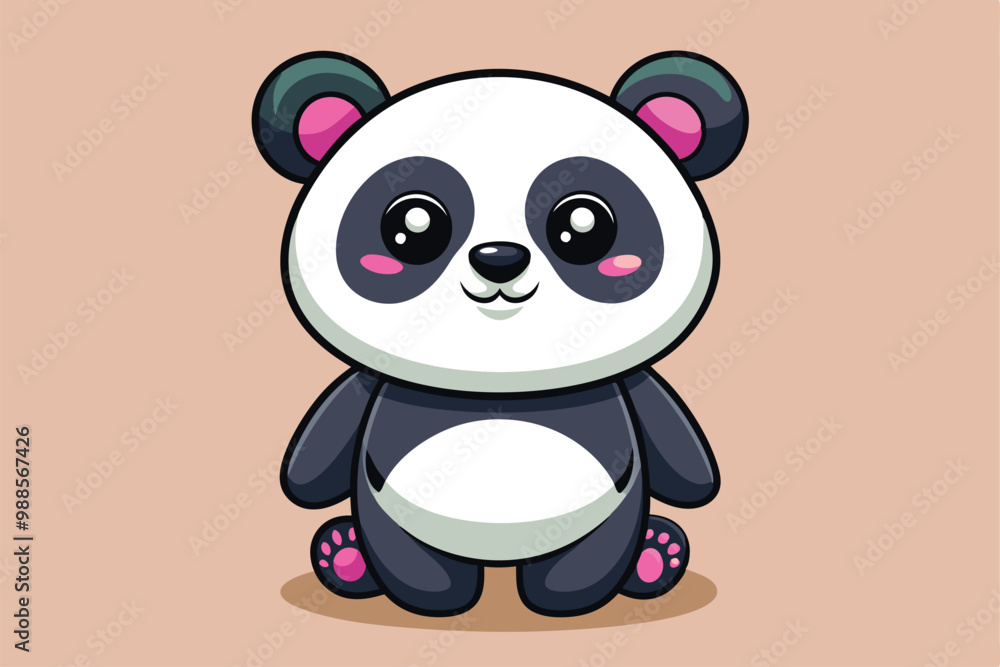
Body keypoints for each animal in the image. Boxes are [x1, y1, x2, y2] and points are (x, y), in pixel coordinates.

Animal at [253, 50, 748, 618]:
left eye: (585, 223)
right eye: (413, 224)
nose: (499, 259)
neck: (500, 385)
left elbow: (680, 454)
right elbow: (319, 454)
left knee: (591, 554)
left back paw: (635, 565)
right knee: (408, 555)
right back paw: (363, 565)